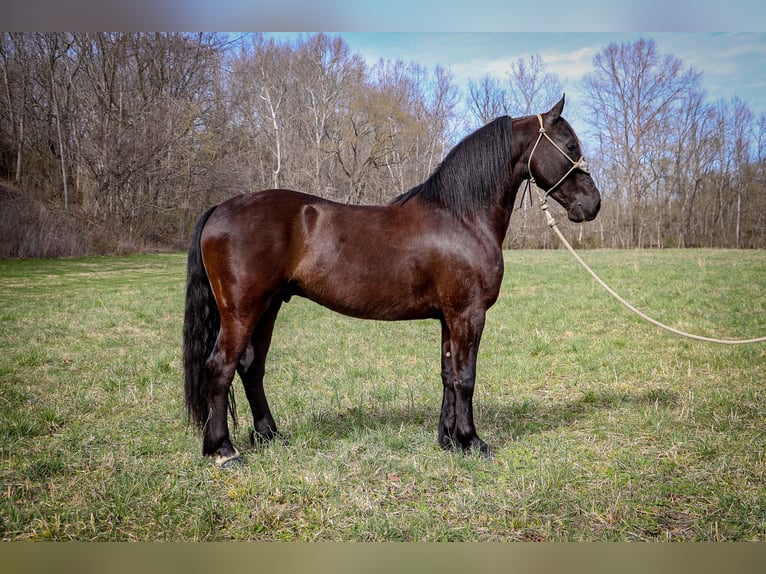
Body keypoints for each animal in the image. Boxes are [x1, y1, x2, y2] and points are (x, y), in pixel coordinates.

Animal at [184, 97, 600, 466]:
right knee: (220, 366)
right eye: (569, 146)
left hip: (268, 307)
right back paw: (224, 450)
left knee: (251, 367)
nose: (592, 204)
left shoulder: (449, 317)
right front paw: (473, 442)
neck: (461, 217)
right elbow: (466, 377)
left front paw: (448, 440)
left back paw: (270, 435)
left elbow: (448, 376)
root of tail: (219, 209)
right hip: (242, 310)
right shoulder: (468, 314)